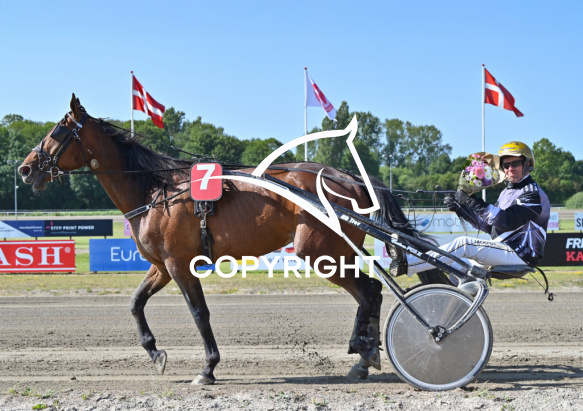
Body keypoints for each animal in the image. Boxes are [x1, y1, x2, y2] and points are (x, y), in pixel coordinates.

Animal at [18, 94, 446, 385]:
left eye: (56, 132)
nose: (24, 168)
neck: (156, 191)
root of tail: (351, 178)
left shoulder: (179, 264)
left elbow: (199, 313)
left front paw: (207, 368)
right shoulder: (162, 265)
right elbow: (136, 304)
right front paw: (155, 353)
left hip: (318, 249)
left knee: (369, 289)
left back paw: (366, 351)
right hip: (332, 250)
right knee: (370, 291)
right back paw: (364, 355)